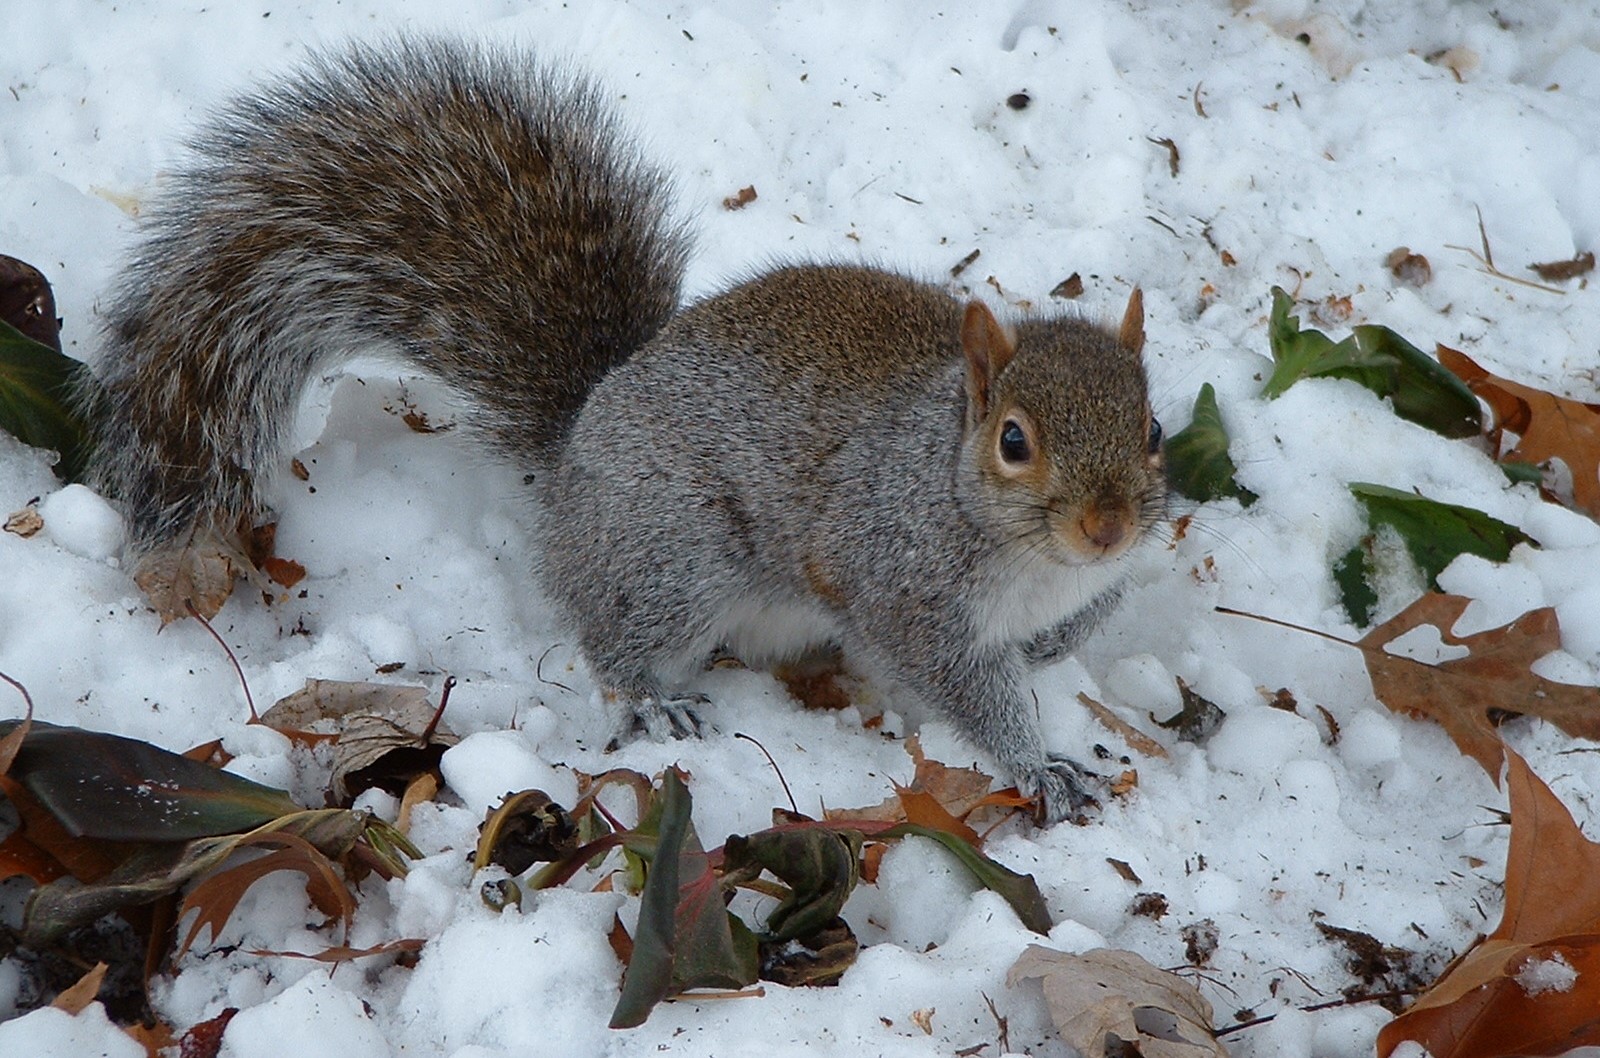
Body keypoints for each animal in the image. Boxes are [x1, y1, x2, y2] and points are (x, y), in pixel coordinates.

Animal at [81, 37, 1164, 819]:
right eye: (1014, 440)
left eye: (1153, 427)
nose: (1108, 528)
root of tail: (578, 445)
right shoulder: (901, 579)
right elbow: (961, 681)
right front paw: (1037, 758)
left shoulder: (1095, 586)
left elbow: (1066, 631)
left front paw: (1047, 666)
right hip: (677, 549)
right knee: (614, 629)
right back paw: (651, 693)